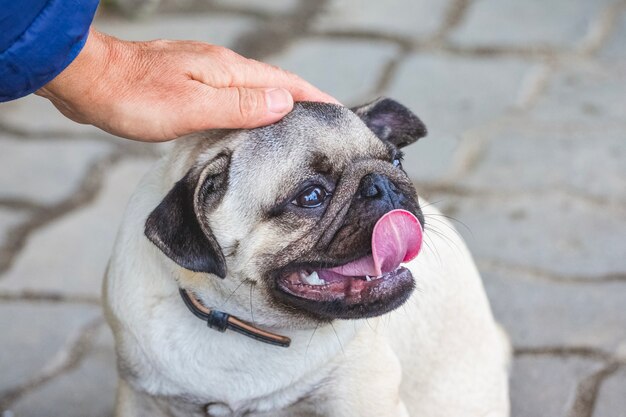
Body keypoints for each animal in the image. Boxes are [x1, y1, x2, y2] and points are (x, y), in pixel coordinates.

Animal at [102, 98, 510, 416]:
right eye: (311, 196)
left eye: (397, 162)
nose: (384, 183)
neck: (239, 321)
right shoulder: (140, 397)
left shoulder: (362, 395)